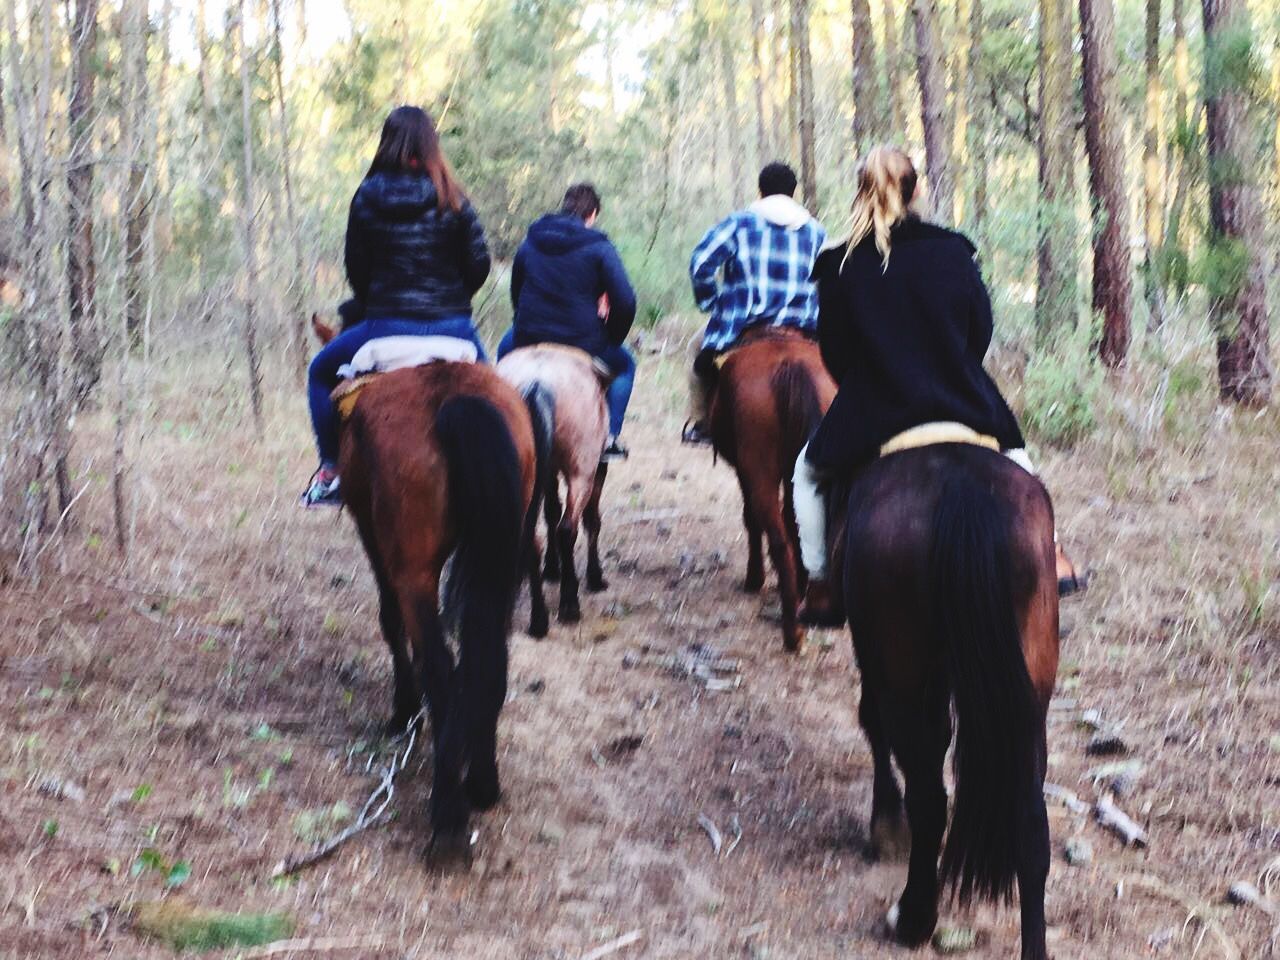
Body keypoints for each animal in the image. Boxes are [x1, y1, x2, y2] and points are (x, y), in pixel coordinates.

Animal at [335, 358, 545, 865]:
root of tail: (454, 396)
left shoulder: (374, 540)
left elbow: (390, 621)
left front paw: (404, 710)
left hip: (415, 570)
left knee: (442, 669)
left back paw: (448, 817)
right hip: (500, 556)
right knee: (486, 662)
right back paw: (482, 782)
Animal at [496, 345, 611, 632]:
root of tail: (537, 381)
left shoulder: (546, 471)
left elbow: (550, 511)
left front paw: (551, 568)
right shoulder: (595, 468)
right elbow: (590, 519)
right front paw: (595, 576)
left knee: (530, 535)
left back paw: (538, 618)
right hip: (581, 472)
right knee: (568, 528)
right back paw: (569, 605)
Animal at [706, 330, 834, 655]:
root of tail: (790, 366)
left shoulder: (743, 471)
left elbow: (751, 519)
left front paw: (755, 578)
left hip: (758, 468)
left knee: (776, 536)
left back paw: (792, 632)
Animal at [839, 445, 1059, 960]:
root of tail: (964, 492)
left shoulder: (875, 655)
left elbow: (871, 721)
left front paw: (885, 825)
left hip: (904, 669)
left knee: (929, 799)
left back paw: (913, 918)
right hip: (1029, 690)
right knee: (1030, 822)